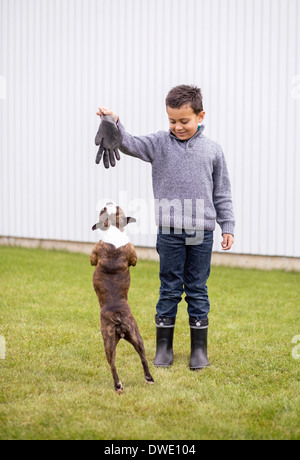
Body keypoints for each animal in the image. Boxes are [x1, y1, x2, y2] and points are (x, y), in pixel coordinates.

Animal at [90, 201, 154, 392]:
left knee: (112, 365)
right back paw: (148, 379)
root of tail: (118, 315)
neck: (112, 226)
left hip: (109, 340)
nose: (108, 203)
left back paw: (118, 385)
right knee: (142, 358)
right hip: (136, 336)